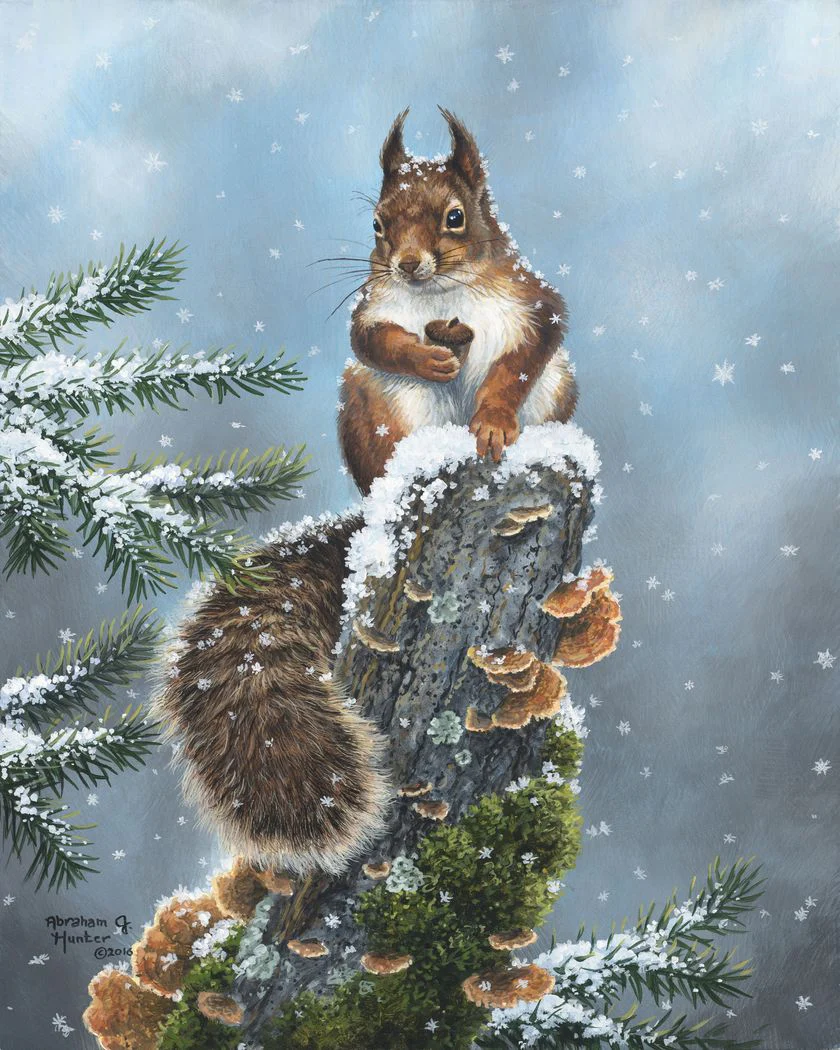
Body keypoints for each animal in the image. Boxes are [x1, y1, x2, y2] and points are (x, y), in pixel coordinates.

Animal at [154, 108, 577, 877]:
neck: (445, 297)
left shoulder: (537, 303)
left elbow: (523, 355)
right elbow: (373, 340)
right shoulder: (371, 311)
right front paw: (429, 353)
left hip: (557, 393)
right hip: (372, 407)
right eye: (378, 224)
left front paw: (494, 418)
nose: (407, 264)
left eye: (455, 216)